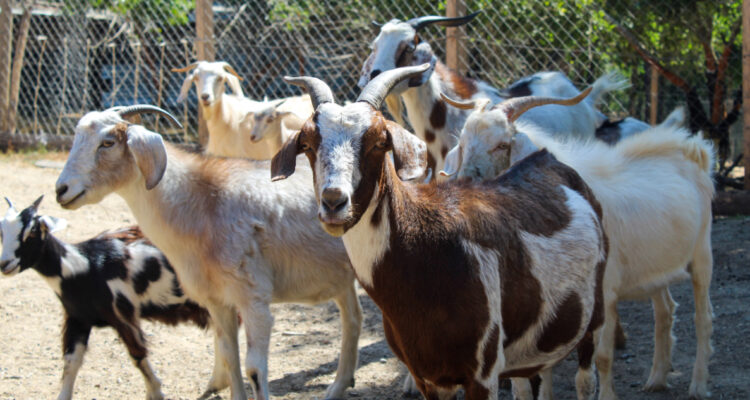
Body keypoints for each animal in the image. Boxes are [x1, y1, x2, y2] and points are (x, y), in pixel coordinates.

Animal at [0, 196, 210, 400]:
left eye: (32, 231)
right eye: (2, 232)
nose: (5, 264)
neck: (85, 266)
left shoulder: (123, 315)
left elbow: (138, 355)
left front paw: (156, 393)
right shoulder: (78, 319)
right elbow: (71, 361)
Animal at [54, 106, 362, 400]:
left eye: (107, 142)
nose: (61, 190)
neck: (204, 202)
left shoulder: (254, 298)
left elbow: (254, 369)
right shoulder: (216, 301)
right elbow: (228, 357)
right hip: (341, 276)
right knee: (352, 320)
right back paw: (338, 387)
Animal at [271, 64, 608, 400]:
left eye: (379, 142)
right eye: (307, 144)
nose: (334, 202)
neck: (424, 248)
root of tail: (548, 158)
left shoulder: (483, 372)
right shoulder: (429, 376)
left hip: (594, 316)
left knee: (585, 376)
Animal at [440, 93, 714, 400]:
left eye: (502, 144)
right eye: (464, 143)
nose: (464, 181)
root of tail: (693, 149)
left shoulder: (604, 294)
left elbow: (603, 358)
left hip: (703, 255)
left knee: (703, 319)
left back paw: (698, 385)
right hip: (656, 270)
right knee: (665, 310)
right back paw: (657, 378)